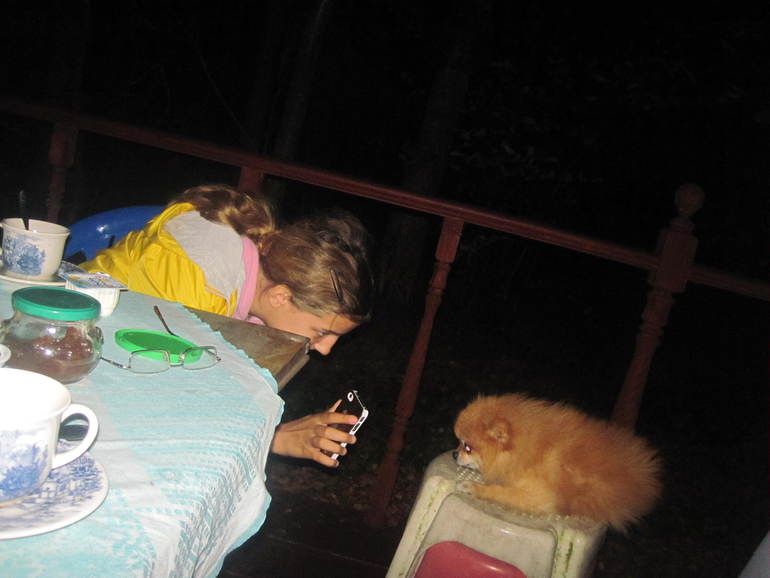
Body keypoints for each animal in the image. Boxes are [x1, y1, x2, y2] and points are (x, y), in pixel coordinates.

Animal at [454, 394, 662, 531]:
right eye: (459, 442)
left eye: (468, 447)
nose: (454, 455)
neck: (525, 449)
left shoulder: (540, 496)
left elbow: (501, 493)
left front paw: (474, 487)